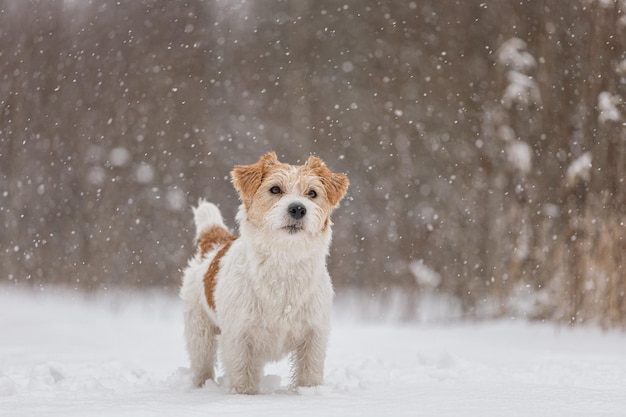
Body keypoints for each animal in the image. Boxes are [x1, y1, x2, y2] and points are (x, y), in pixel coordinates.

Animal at [178, 153, 348, 394]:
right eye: (275, 189)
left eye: (312, 193)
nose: (298, 209)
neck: (284, 262)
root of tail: (216, 241)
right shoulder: (239, 337)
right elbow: (242, 377)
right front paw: (246, 397)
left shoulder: (314, 334)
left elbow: (309, 373)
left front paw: (308, 394)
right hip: (199, 333)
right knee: (202, 363)